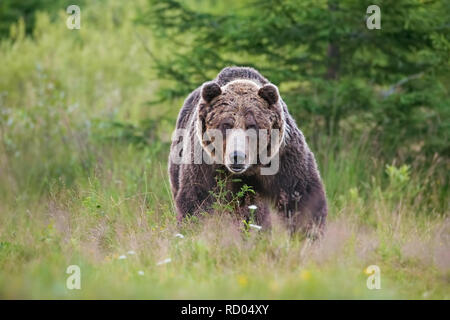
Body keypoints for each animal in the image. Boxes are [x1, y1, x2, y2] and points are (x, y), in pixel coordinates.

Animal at [169, 66, 326, 235]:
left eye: (252, 125)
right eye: (226, 124)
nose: (237, 156)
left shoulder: (284, 157)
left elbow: (301, 195)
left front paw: (309, 233)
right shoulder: (205, 163)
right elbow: (197, 198)